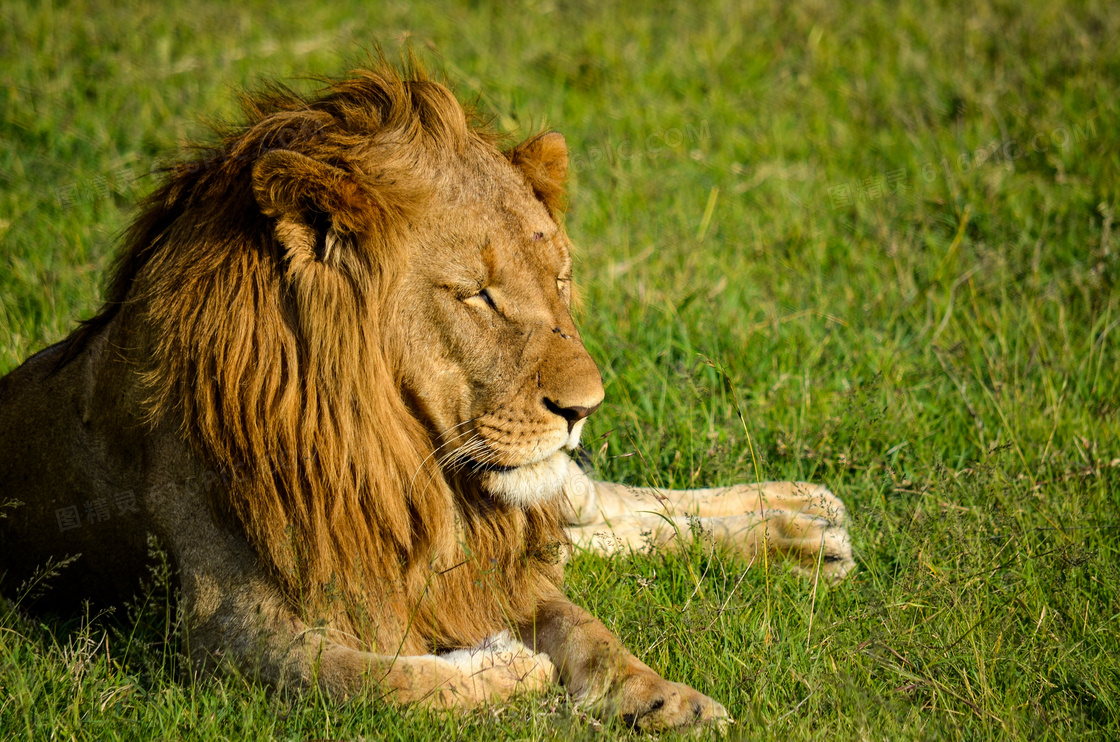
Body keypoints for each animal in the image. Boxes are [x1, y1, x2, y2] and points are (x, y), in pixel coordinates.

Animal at [0, 59, 846, 730]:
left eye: (560, 279)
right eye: (476, 295)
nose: (586, 408)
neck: (397, 460)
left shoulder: (486, 559)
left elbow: (588, 630)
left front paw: (664, 697)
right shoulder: (220, 626)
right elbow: (374, 683)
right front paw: (510, 665)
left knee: (607, 506)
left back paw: (805, 522)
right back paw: (808, 533)